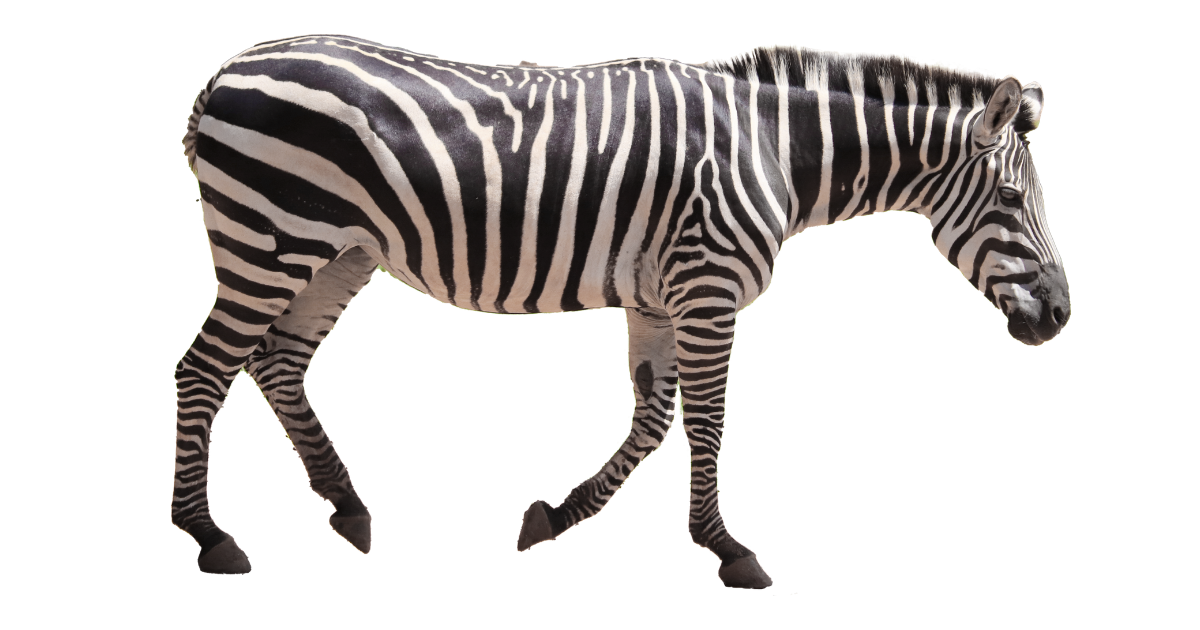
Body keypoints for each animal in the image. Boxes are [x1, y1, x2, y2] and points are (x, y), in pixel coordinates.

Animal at [176, 35, 1070, 587]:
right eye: (1012, 199)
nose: (1060, 313)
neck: (776, 152)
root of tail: (228, 70)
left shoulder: (659, 295)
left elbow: (652, 416)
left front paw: (554, 517)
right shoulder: (708, 283)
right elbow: (702, 415)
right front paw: (728, 548)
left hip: (336, 252)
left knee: (278, 364)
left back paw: (351, 513)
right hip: (274, 239)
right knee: (203, 369)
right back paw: (209, 534)